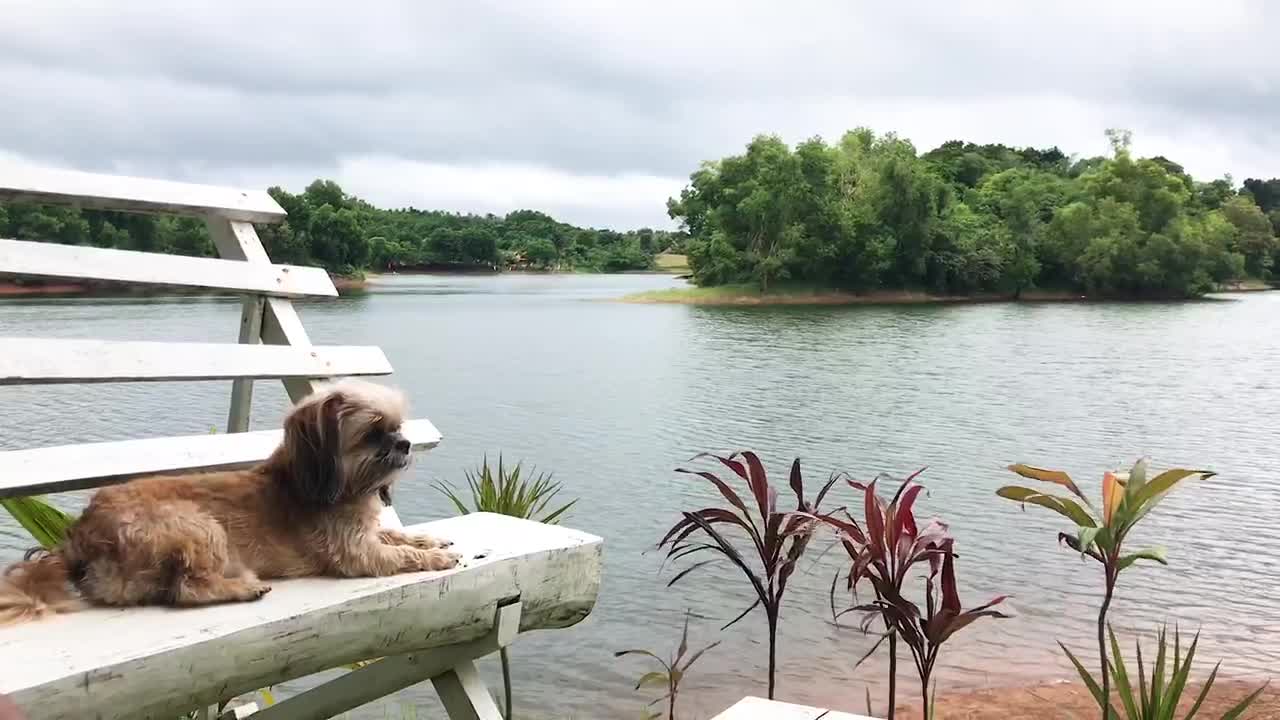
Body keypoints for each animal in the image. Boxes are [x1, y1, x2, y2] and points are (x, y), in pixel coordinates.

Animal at [0, 376, 460, 622]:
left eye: (398, 427)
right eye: (373, 433)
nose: (404, 444)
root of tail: (78, 538)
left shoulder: (366, 534)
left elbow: (396, 538)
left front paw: (430, 540)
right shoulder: (355, 552)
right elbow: (395, 554)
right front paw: (435, 557)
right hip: (197, 526)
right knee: (185, 589)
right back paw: (242, 588)